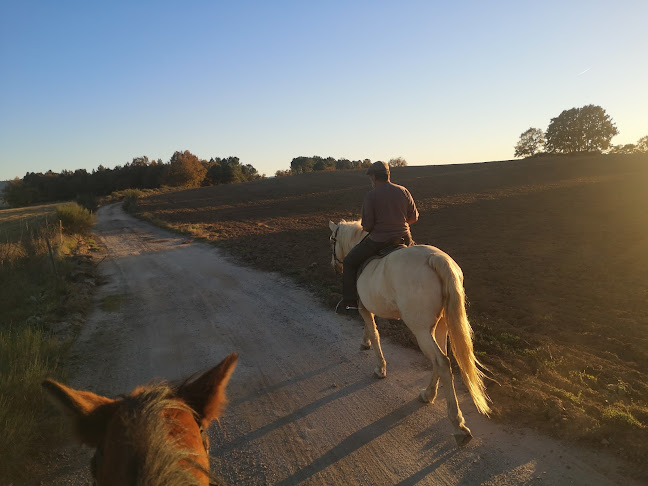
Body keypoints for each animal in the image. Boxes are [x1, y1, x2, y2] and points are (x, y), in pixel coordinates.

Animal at [330, 222, 486, 446]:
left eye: (332, 240)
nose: (335, 266)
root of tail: (435, 258)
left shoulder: (363, 307)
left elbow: (374, 332)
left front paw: (380, 367)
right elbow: (370, 329)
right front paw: (365, 343)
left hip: (420, 329)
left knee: (440, 362)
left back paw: (458, 425)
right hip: (441, 326)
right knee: (443, 360)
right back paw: (428, 394)